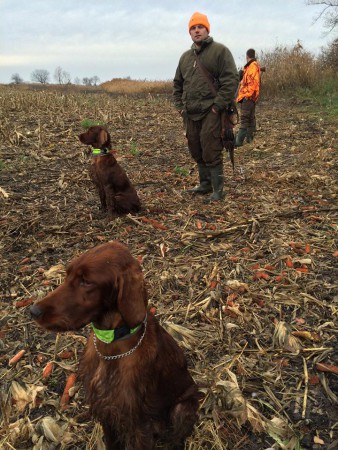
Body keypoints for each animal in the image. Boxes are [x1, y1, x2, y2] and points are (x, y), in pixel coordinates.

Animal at [29, 243, 201, 450]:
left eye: (86, 282)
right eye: (68, 274)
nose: (33, 311)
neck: (111, 344)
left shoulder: (138, 423)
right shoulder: (106, 412)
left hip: (181, 408)